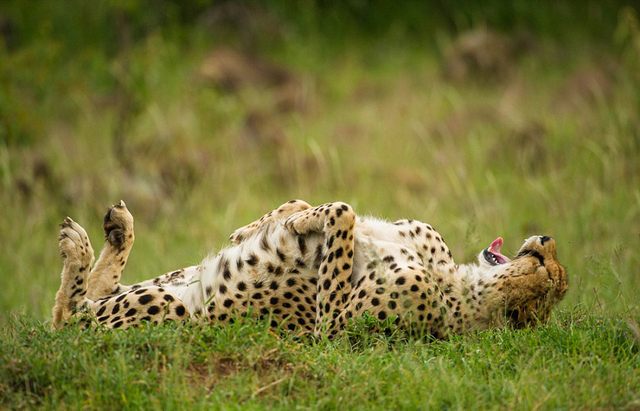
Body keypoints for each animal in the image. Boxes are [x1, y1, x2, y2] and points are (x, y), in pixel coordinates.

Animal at [52, 201, 568, 340]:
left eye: (550, 272)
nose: (546, 239)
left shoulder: (330, 329)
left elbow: (342, 212)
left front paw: (299, 226)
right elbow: (311, 205)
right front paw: (257, 228)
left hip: (172, 312)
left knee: (71, 319)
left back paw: (79, 248)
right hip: (169, 281)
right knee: (89, 299)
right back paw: (115, 230)